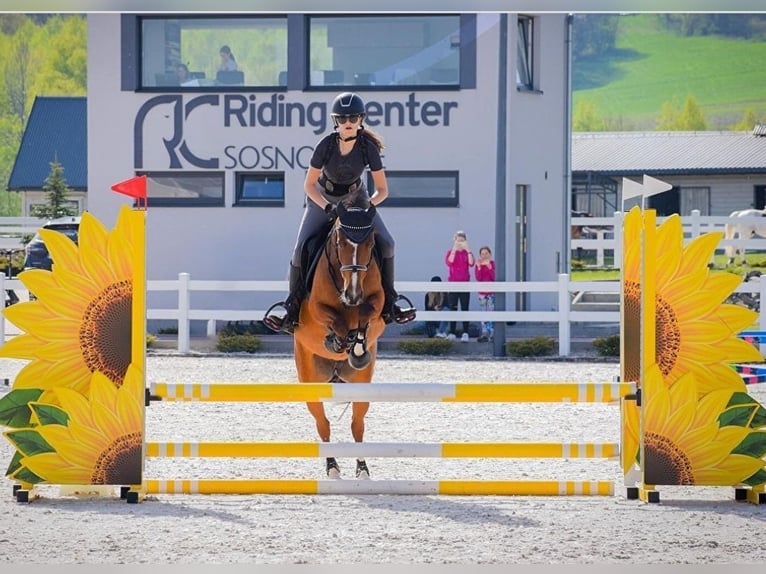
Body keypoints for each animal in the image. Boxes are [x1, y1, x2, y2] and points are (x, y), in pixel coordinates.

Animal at [296, 200, 388, 480]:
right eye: (340, 242)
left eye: (370, 242)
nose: (353, 294)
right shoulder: (316, 308)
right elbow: (333, 319)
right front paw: (336, 341)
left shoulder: (377, 305)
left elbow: (366, 316)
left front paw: (357, 349)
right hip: (310, 381)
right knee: (323, 425)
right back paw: (332, 468)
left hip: (361, 386)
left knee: (357, 425)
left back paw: (362, 469)